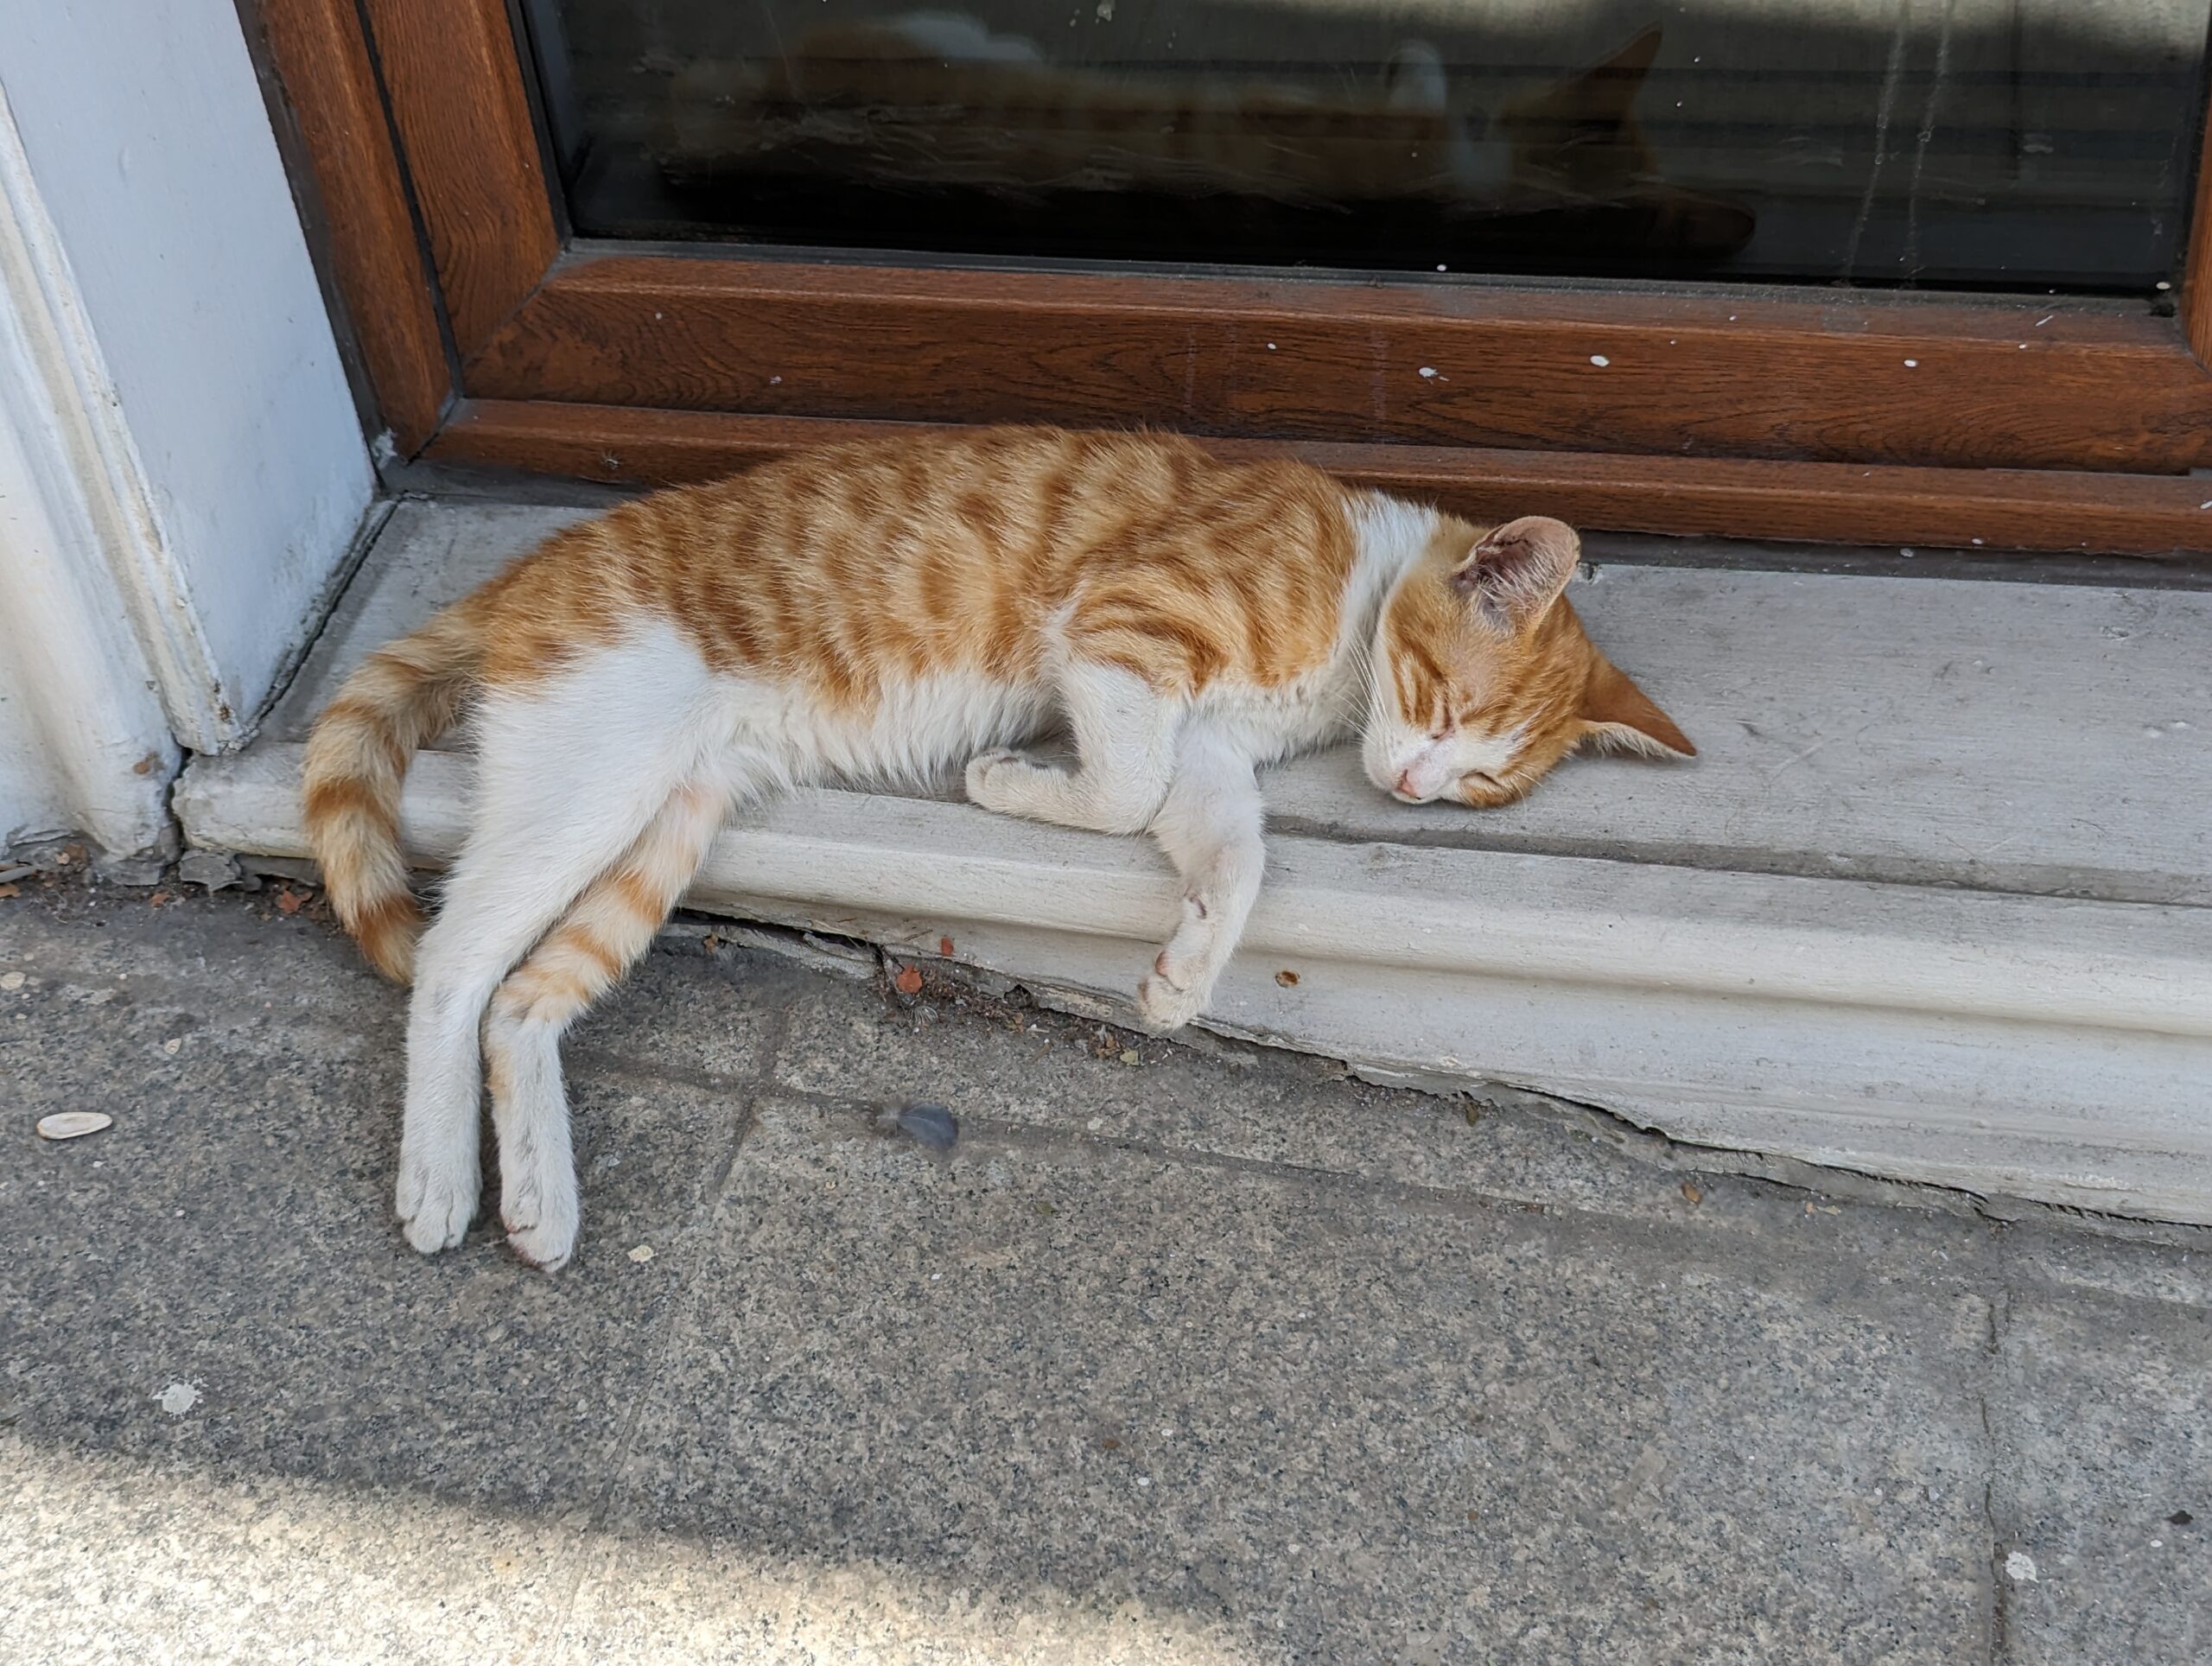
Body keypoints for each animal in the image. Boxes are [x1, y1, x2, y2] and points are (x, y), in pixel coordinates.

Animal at [303, 426, 1692, 1270]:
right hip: (588, 779)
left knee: (525, 1003)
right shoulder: (1123, 633)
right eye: (1448, 712)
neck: (1356, 602)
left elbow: (1228, 850)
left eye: (1479, 782)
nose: (1410, 785)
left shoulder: (1207, 746)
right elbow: (1124, 792)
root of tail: (529, 570)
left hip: (666, 823)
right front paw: (1008, 779)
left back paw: (539, 1198)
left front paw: (1186, 970)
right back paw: (439, 1175)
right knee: (454, 962)